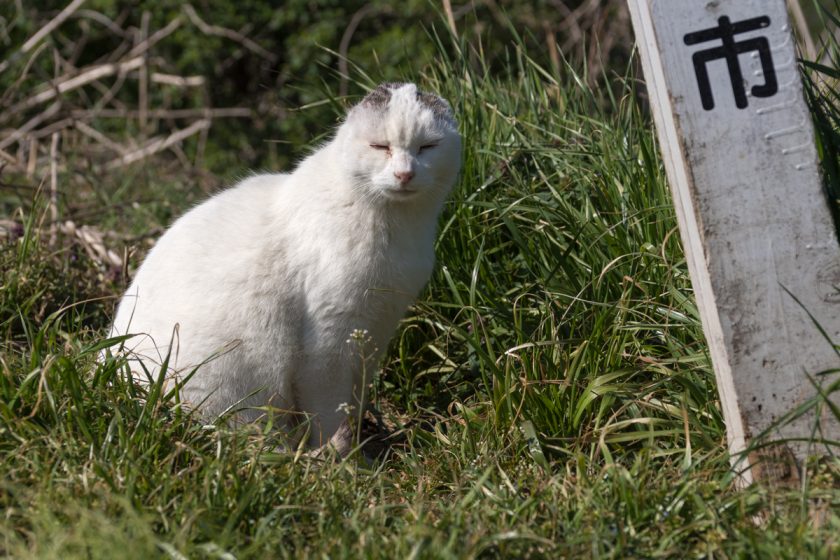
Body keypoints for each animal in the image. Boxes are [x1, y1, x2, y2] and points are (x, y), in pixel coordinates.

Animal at [110, 82, 460, 450]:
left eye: (427, 147)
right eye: (380, 146)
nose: (404, 174)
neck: (397, 227)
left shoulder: (376, 329)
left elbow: (354, 400)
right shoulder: (328, 342)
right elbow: (329, 413)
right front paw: (339, 456)